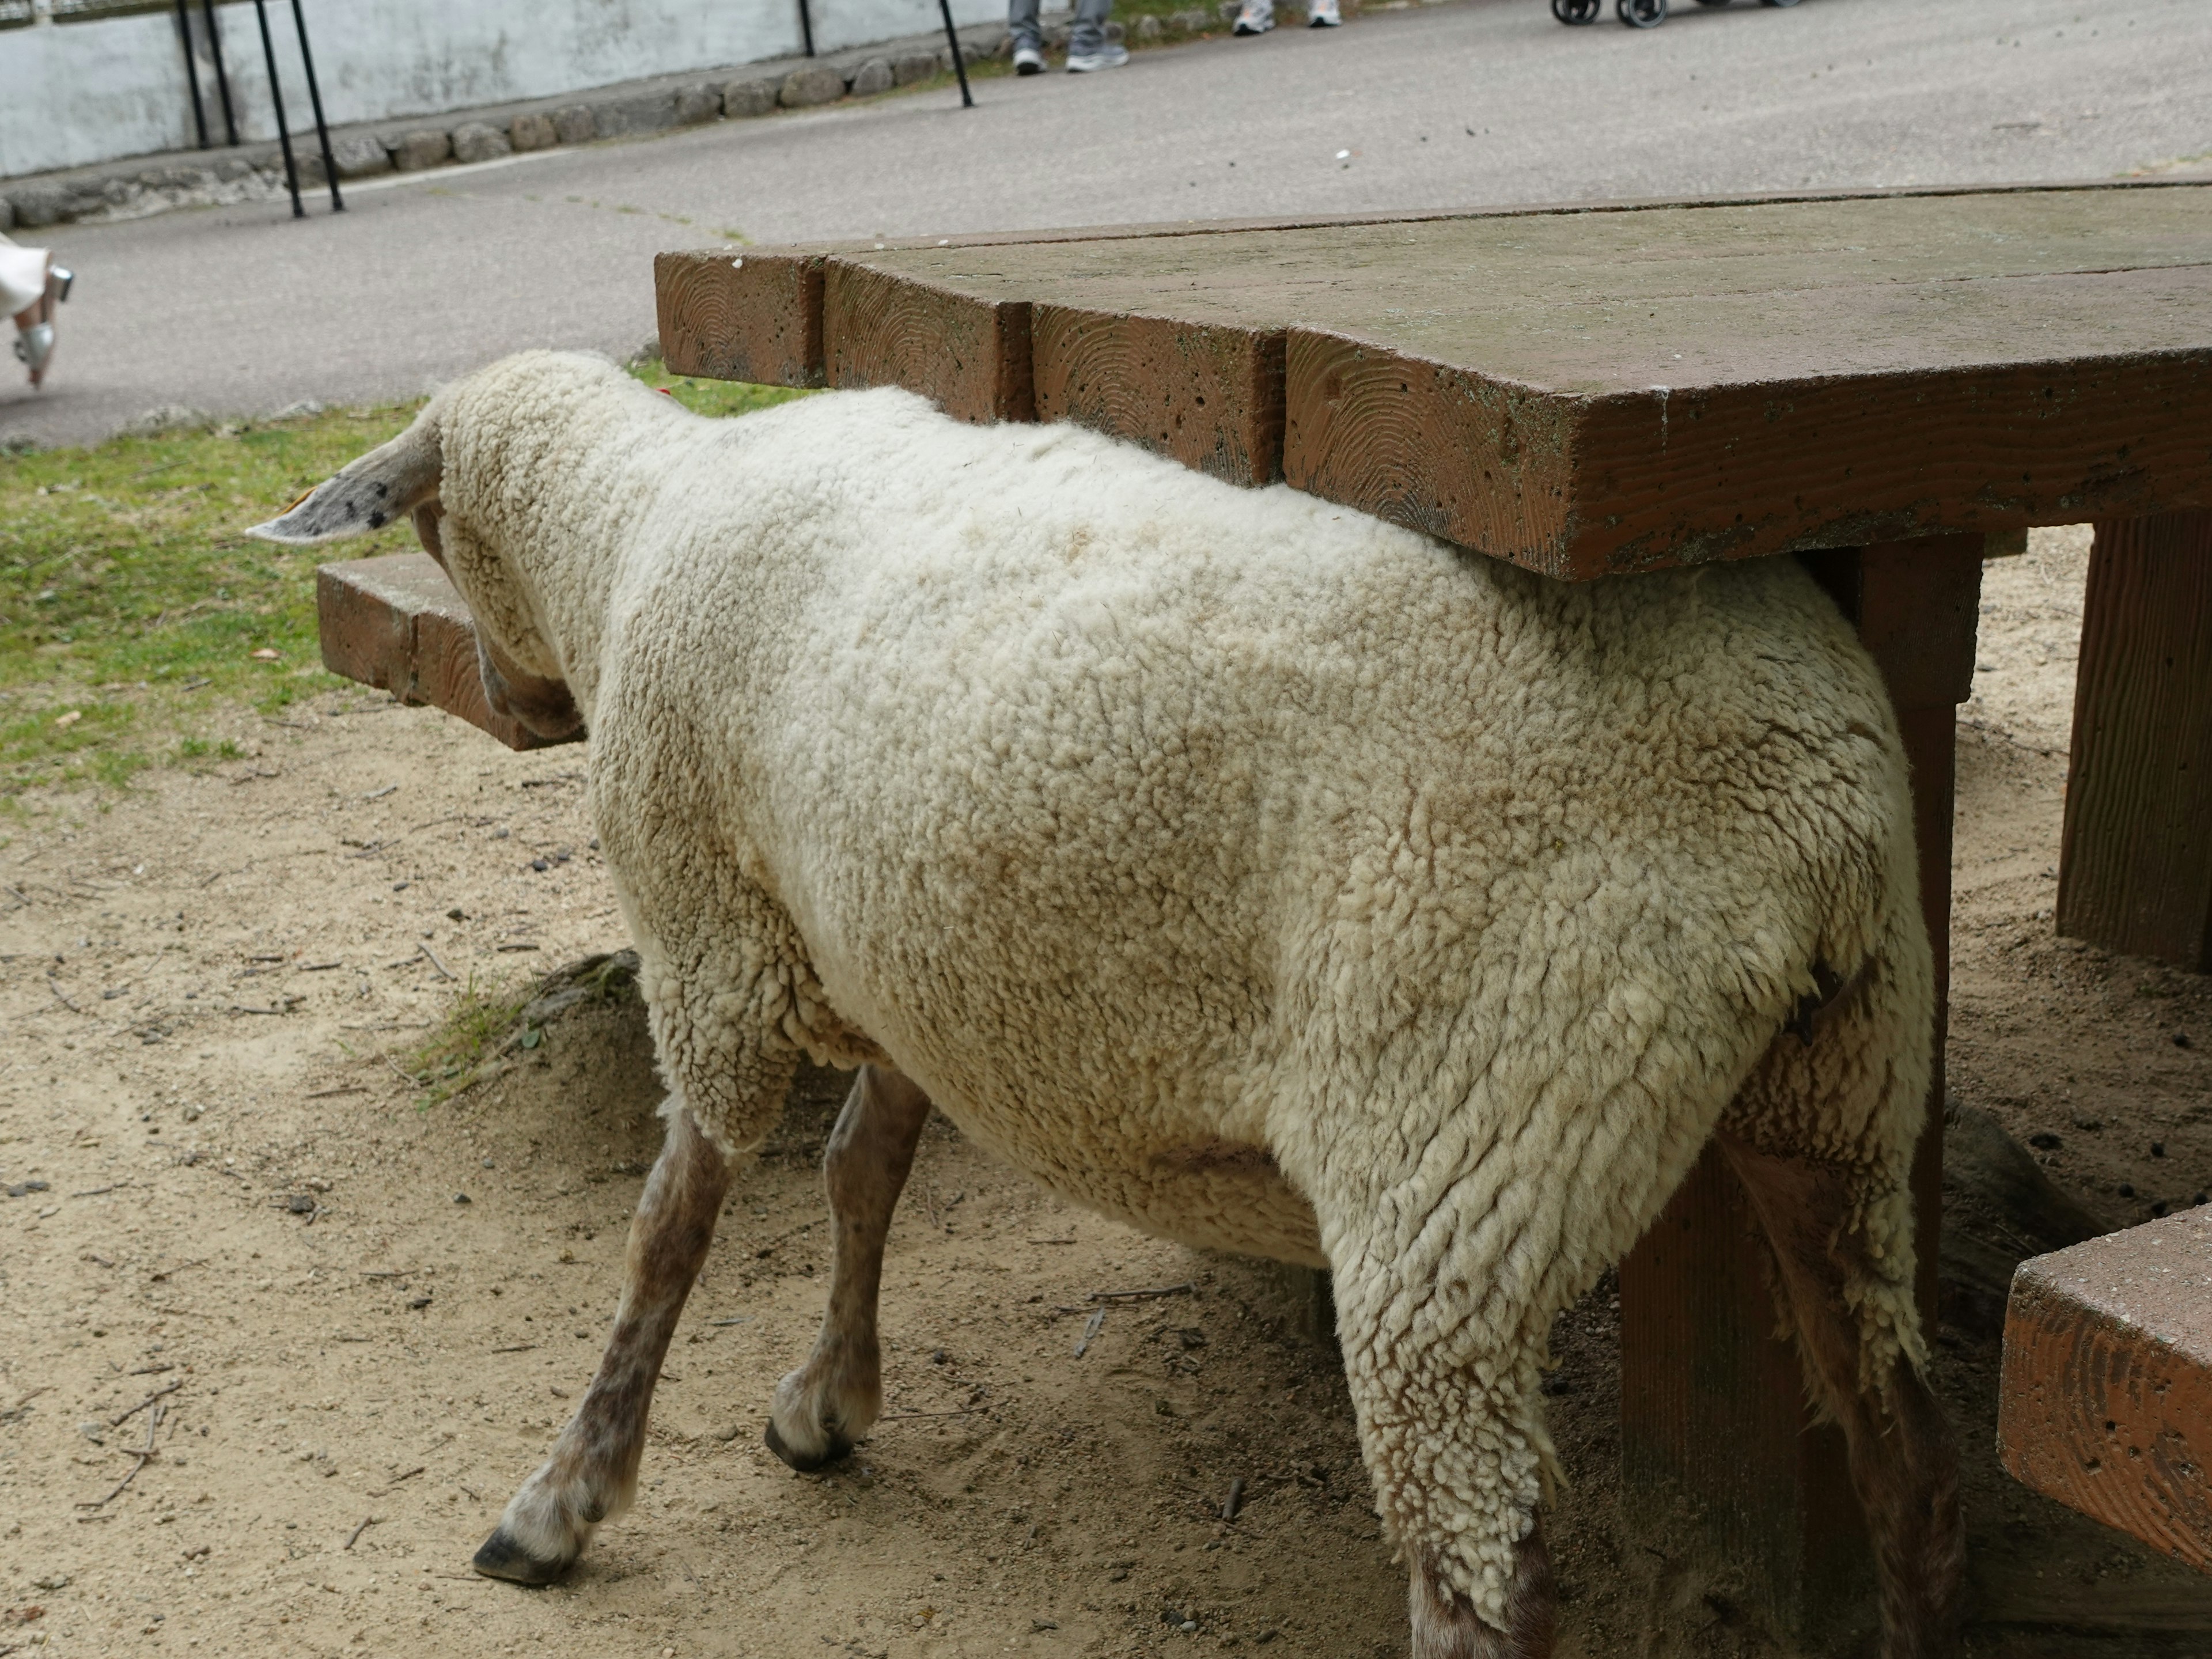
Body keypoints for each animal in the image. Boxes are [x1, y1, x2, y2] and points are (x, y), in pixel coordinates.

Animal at [251, 354, 1964, 1659]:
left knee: (1486, 1576)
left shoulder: (708, 941)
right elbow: (859, 1172)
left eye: (438, 531)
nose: (515, 699)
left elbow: (669, 1230)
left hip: (1463, 1146)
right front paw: (827, 1401)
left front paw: (564, 1500)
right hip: (1848, 1084)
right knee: (1901, 1442)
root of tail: (1802, 820)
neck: (629, 530)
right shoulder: (907, 958)